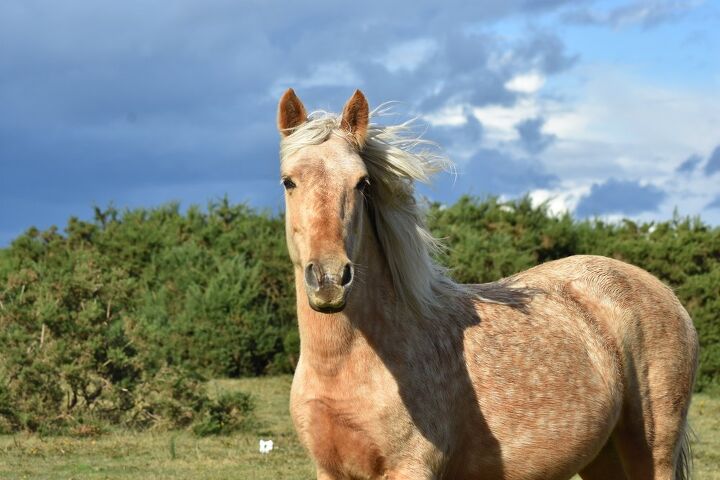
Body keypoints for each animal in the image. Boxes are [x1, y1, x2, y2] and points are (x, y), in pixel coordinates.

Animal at [274, 87, 696, 480]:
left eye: (361, 183)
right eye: (288, 182)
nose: (330, 279)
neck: (346, 363)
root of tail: (665, 293)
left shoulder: (410, 467)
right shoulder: (330, 470)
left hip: (652, 451)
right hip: (602, 456)